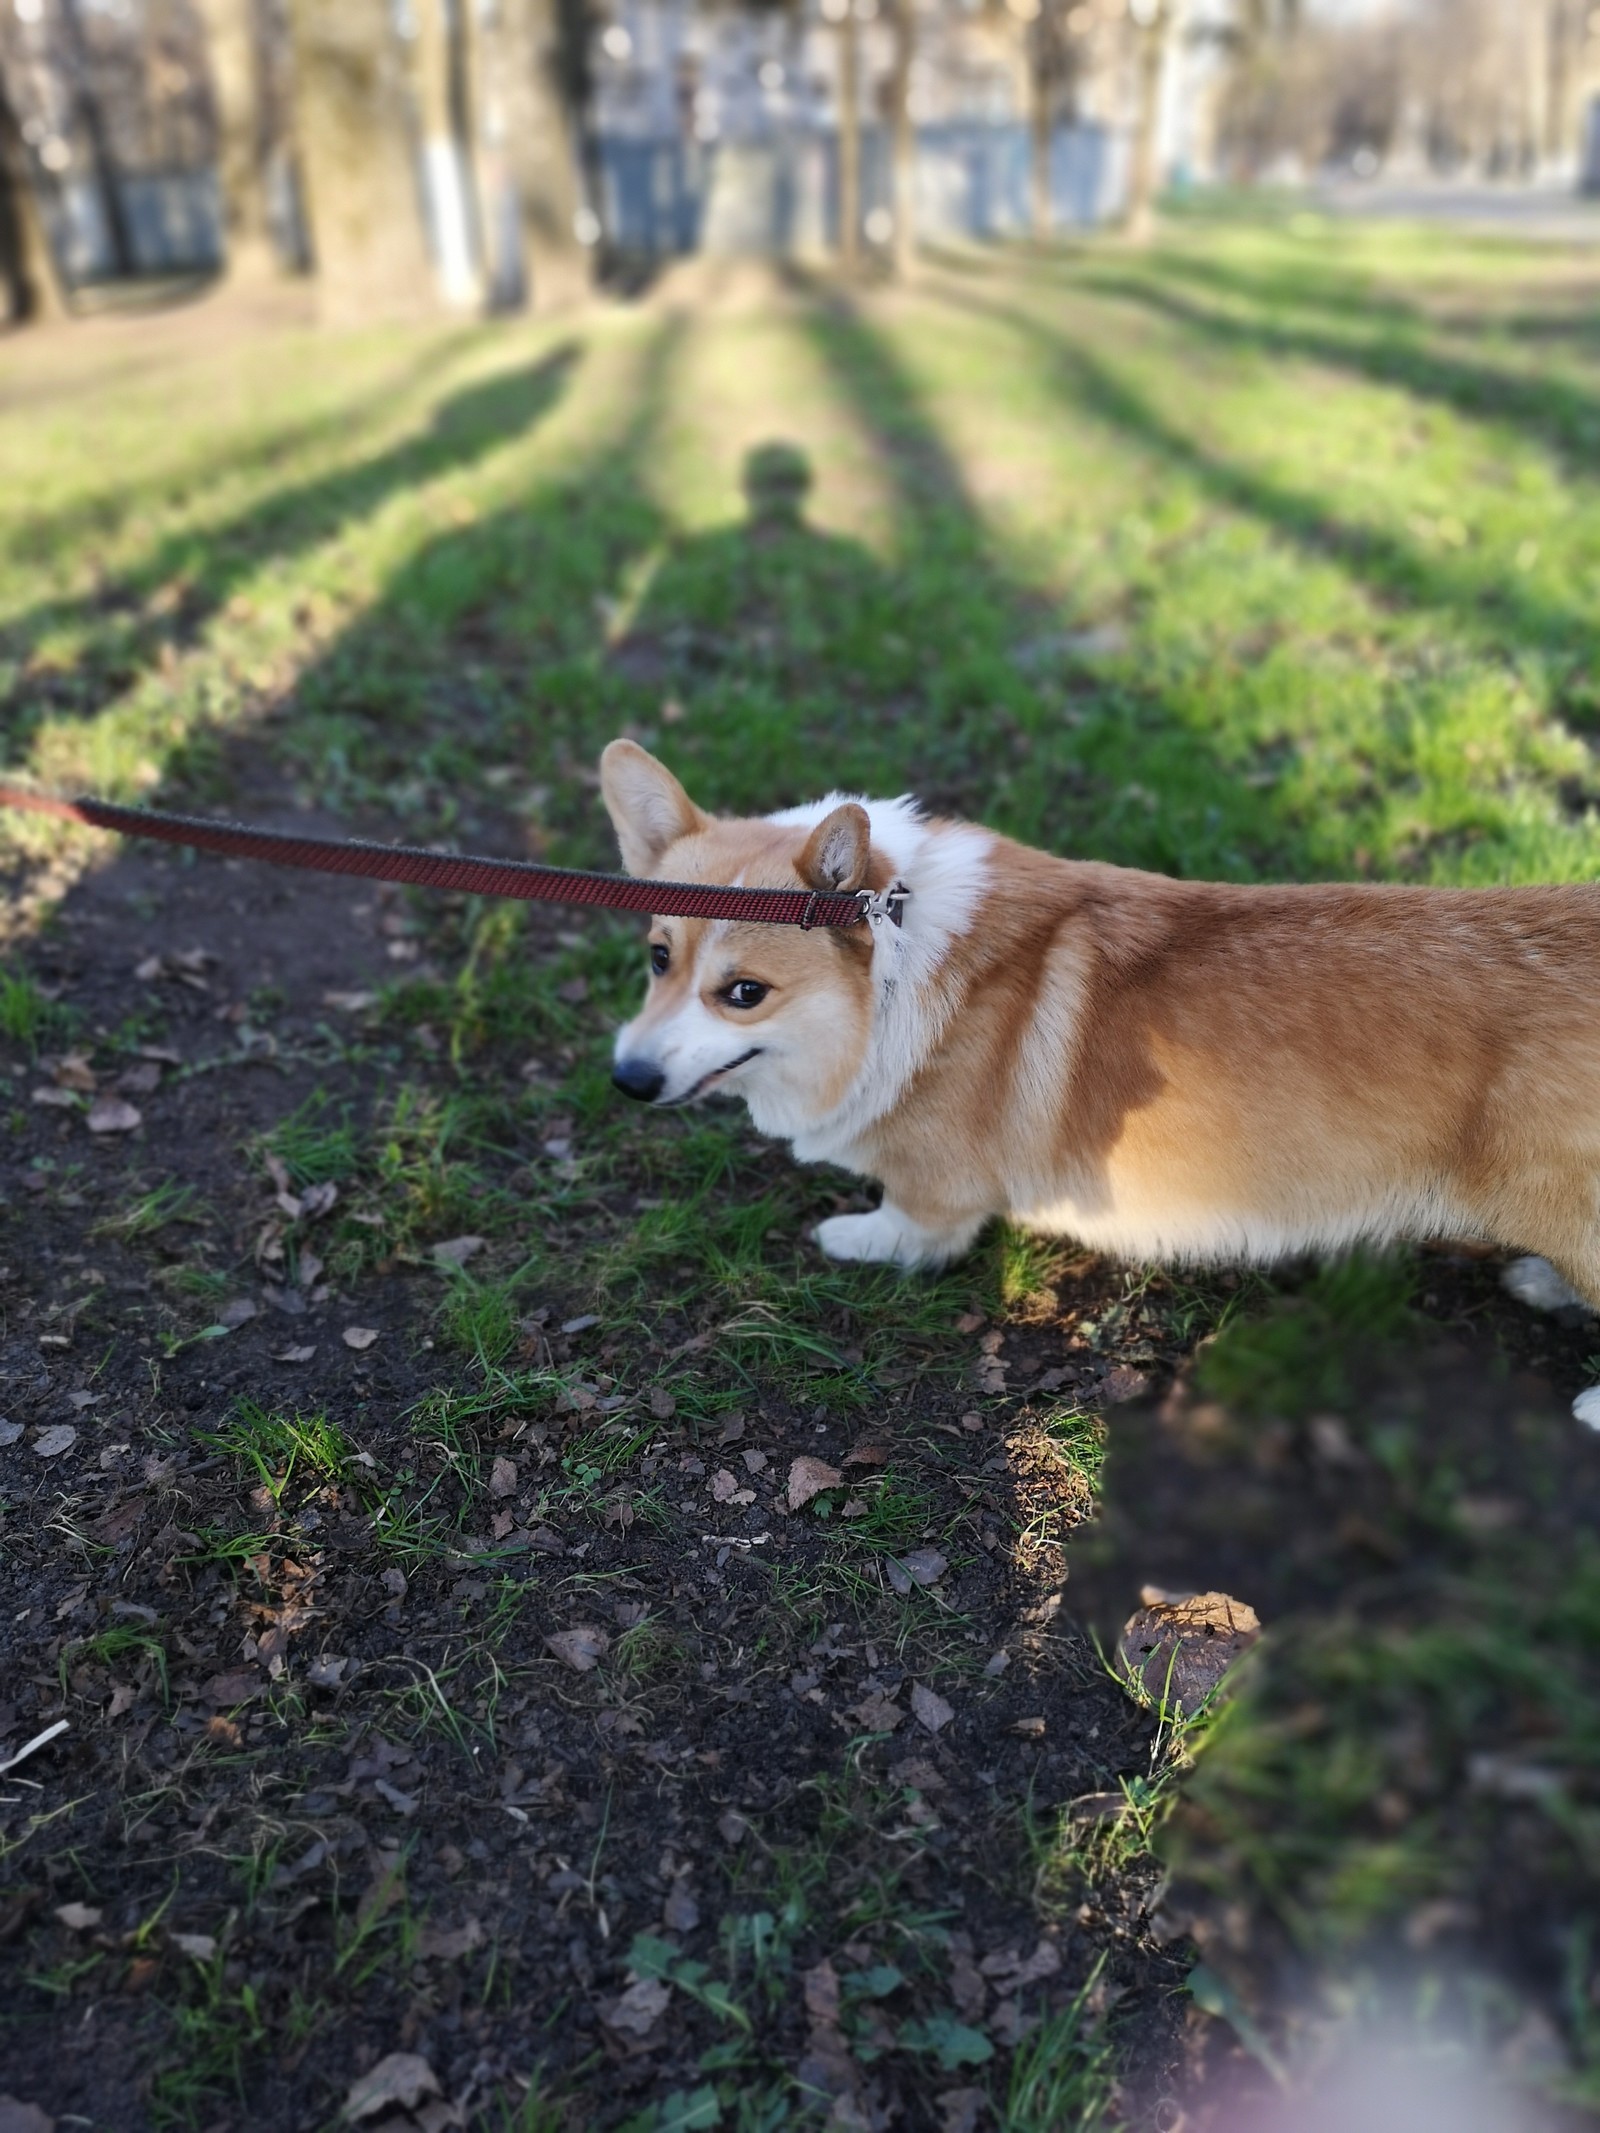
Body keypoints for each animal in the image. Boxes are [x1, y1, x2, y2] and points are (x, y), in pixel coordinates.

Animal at [597, 742, 1600, 1424]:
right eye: (657, 956)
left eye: (745, 993)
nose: (627, 1079)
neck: (892, 969)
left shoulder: (934, 1183)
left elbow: (913, 1222)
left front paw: (856, 1237)